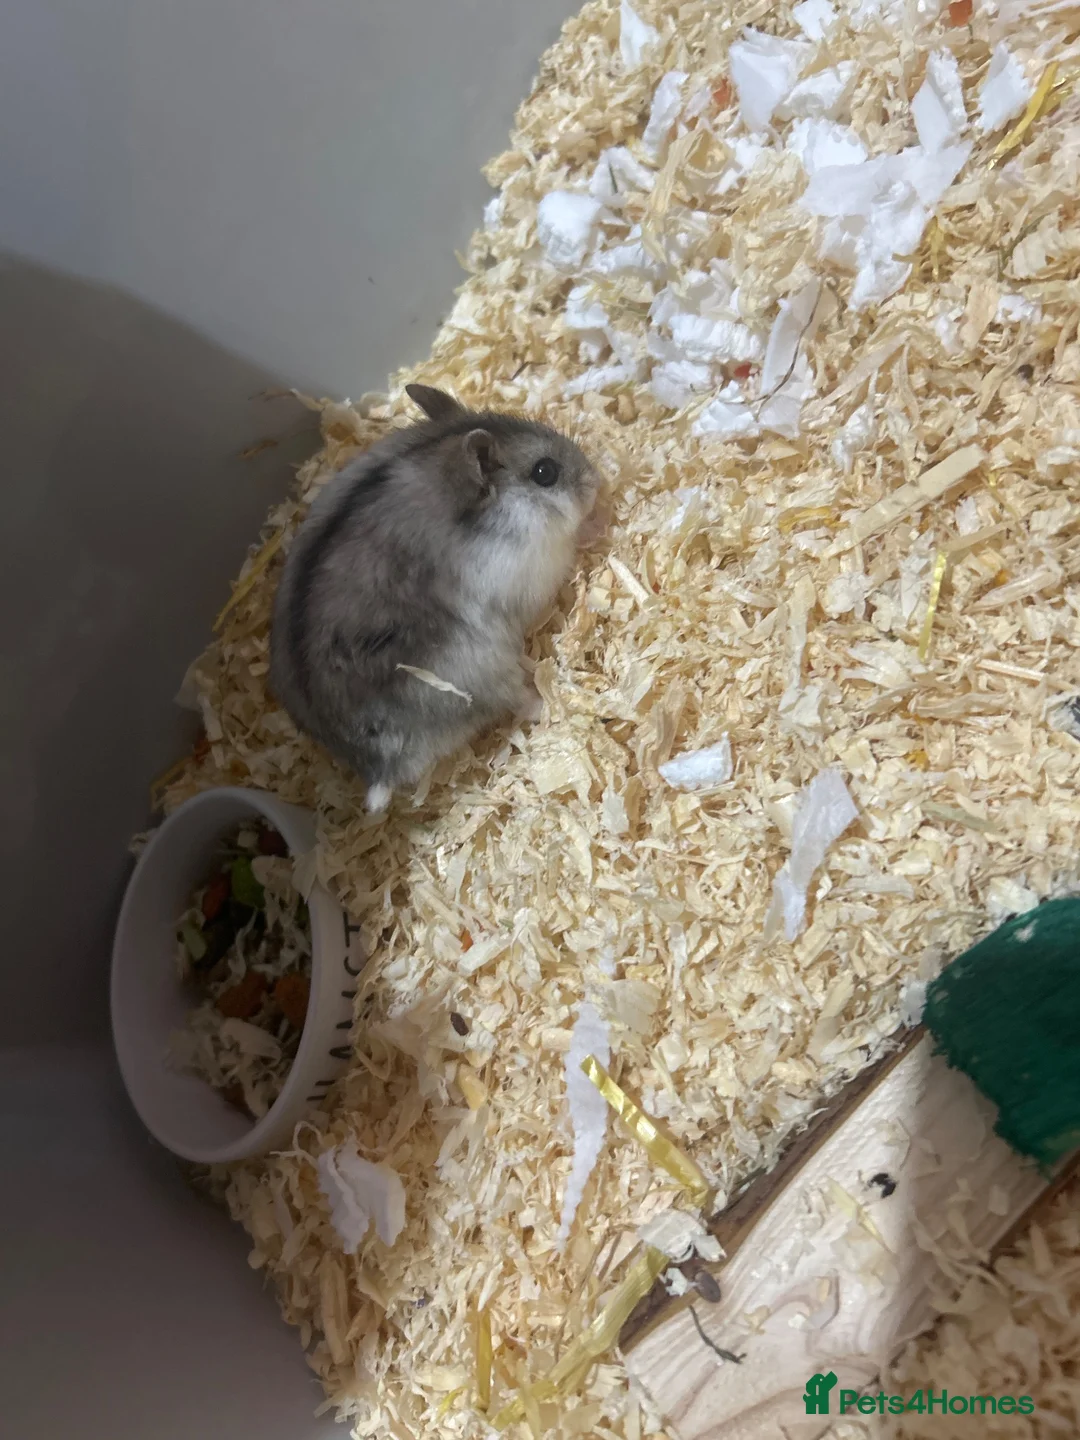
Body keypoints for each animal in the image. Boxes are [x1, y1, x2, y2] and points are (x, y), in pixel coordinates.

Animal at [269, 384, 598, 813]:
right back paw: (548, 704)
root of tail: (376, 768)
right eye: (545, 472)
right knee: (514, 700)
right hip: (475, 669)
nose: (595, 479)